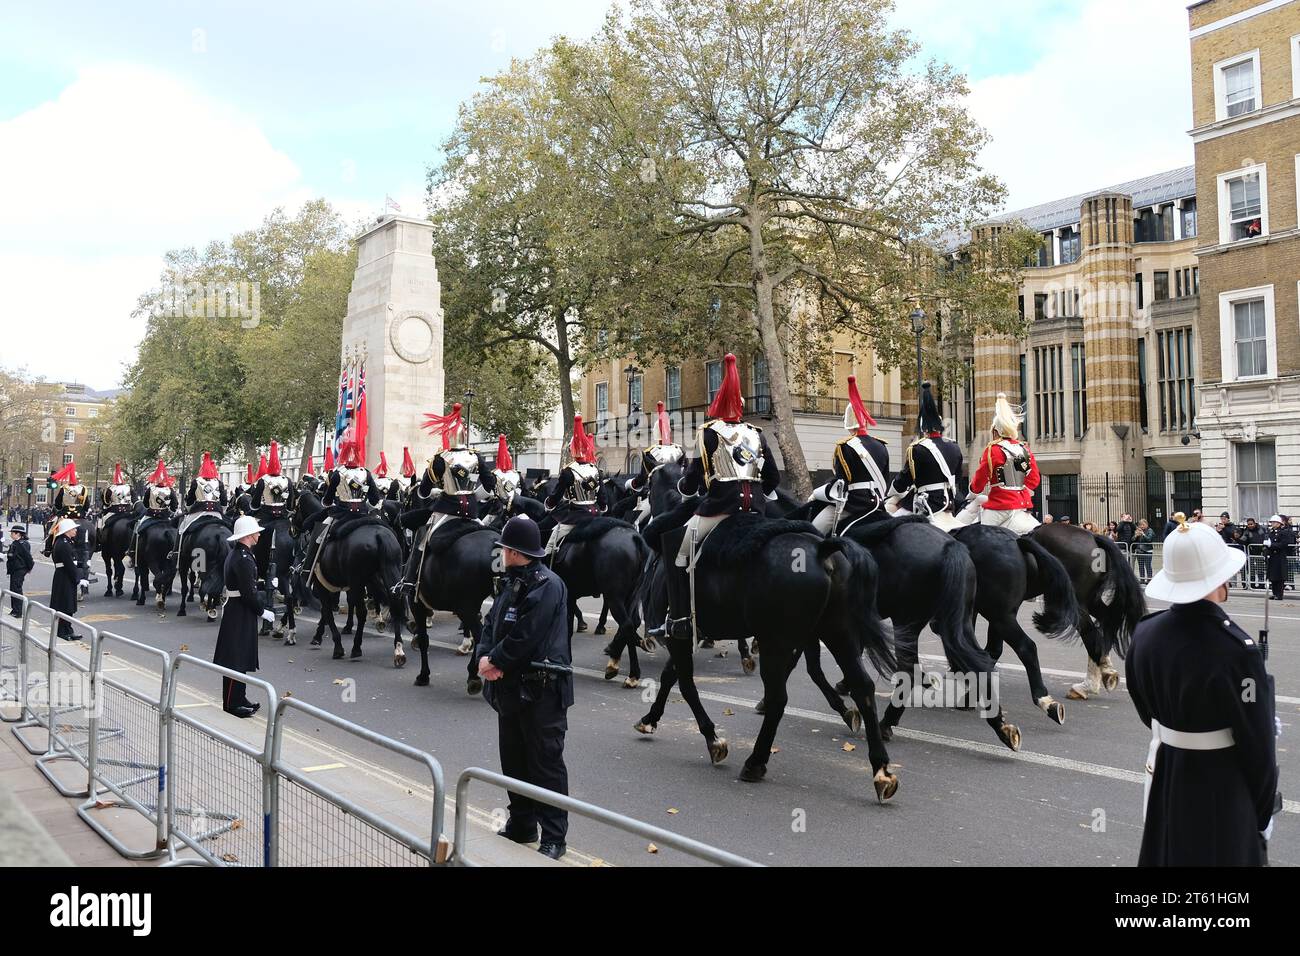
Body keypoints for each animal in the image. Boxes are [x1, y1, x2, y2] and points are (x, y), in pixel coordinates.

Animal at [634, 515, 899, 801]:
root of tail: (822, 549)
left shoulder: (678, 637)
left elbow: (685, 686)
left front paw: (713, 739)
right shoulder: (685, 638)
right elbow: (669, 676)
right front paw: (650, 719)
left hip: (778, 643)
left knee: (778, 699)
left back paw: (755, 762)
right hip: (839, 633)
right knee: (863, 687)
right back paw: (881, 770)